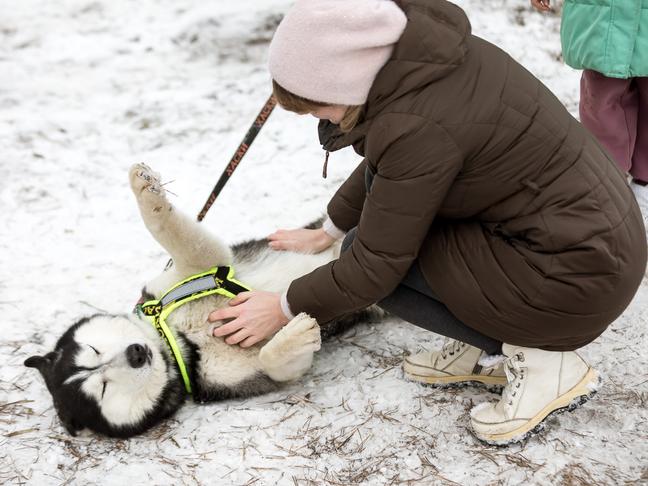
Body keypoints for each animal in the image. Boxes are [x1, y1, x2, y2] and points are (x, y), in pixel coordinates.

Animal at [25, 164, 372, 440]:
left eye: (93, 350)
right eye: (103, 387)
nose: (136, 353)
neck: (179, 339)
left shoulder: (199, 266)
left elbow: (167, 228)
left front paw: (145, 190)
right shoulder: (246, 377)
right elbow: (276, 361)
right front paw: (295, 336)